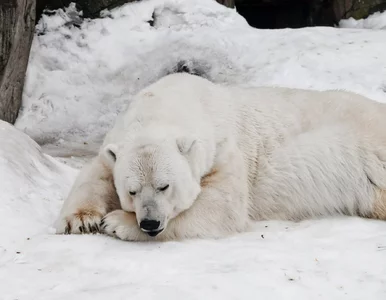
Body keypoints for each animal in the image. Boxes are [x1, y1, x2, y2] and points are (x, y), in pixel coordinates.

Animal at [54, 72, 386, 241]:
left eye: (165, 186)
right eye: (132, 191)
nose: (149, 223)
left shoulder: (224, 146)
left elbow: (222, 206)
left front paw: (115, 223)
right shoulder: (117, 140)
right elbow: (97, 170)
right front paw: (80, 220)